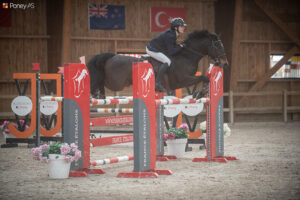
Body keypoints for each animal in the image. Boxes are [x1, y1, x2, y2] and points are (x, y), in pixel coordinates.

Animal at [86, 29, 227, 99]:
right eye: (218, 45)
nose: (225, 63)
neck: (186, 56)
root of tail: (112, 56)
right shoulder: (182, 81)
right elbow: (204, 77)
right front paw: (200, 93)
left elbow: (205, 78)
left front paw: (200, 93)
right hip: (116, 83)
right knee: (99, 82)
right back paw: (95, 94)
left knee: (100, 84)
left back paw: (99, 95)